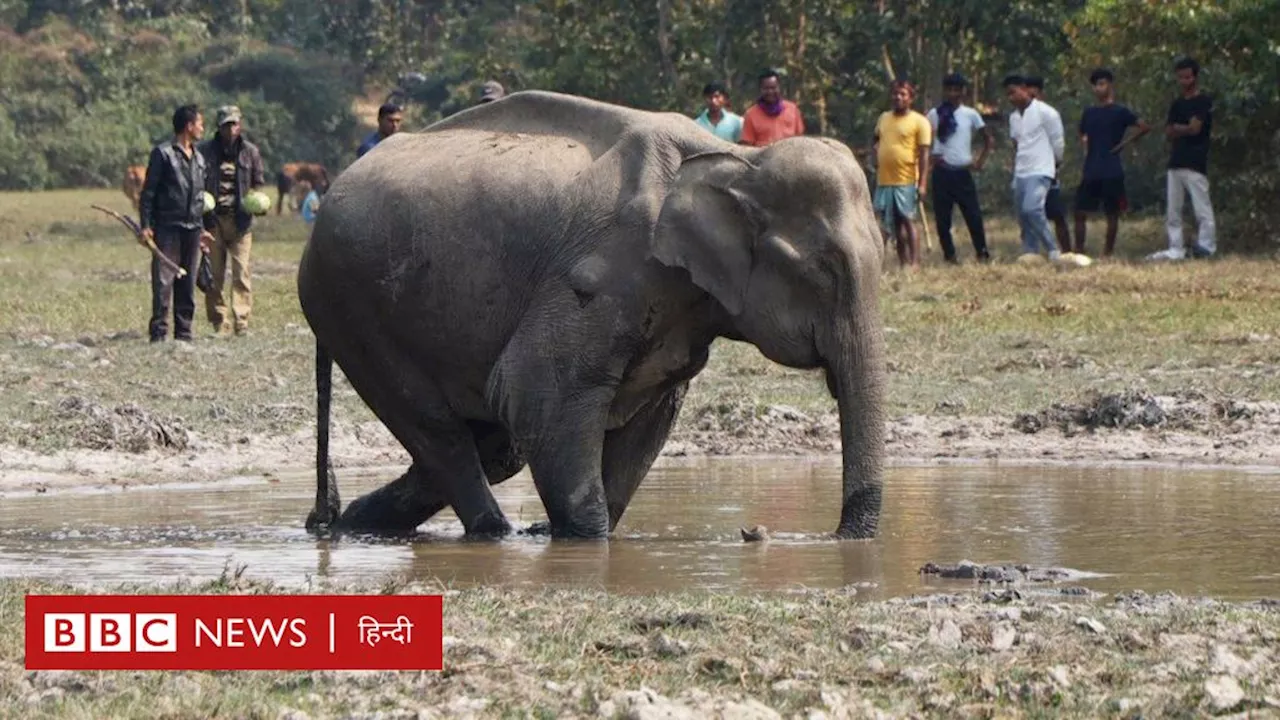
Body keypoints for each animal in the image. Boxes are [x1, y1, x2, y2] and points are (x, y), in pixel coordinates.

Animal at [295, 88, 885, 538]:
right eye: (824, 271)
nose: (757, 532)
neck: (736, 157)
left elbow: (651, 416)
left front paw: (569, 533)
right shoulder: (603, 273)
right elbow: (535, 392)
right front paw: (579, 539)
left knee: (492, 445)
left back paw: (356, 524)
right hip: (349, 307)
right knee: (439, 431)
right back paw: (490, 532)